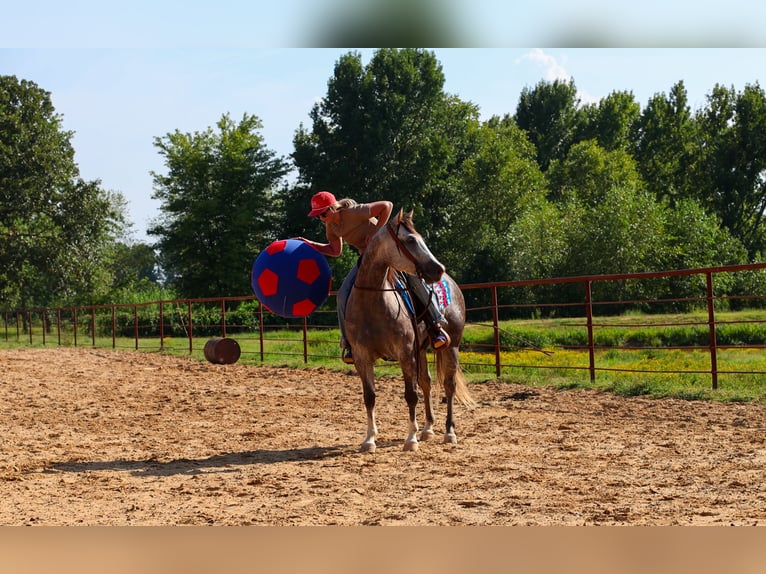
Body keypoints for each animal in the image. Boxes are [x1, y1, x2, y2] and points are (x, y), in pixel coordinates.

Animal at [344, 209, 475, 453]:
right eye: (411, 240)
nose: (438, 269)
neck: (373, 302)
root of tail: (451, 283)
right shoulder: (361, 357)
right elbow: (370, 396)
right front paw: (369, 440)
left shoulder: (405, 354)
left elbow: (410, 395)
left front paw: (410, 439)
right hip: (421, 350)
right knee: (427, 382)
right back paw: (428, 429)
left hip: (452, 346)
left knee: (449, 385)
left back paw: (449, 432)